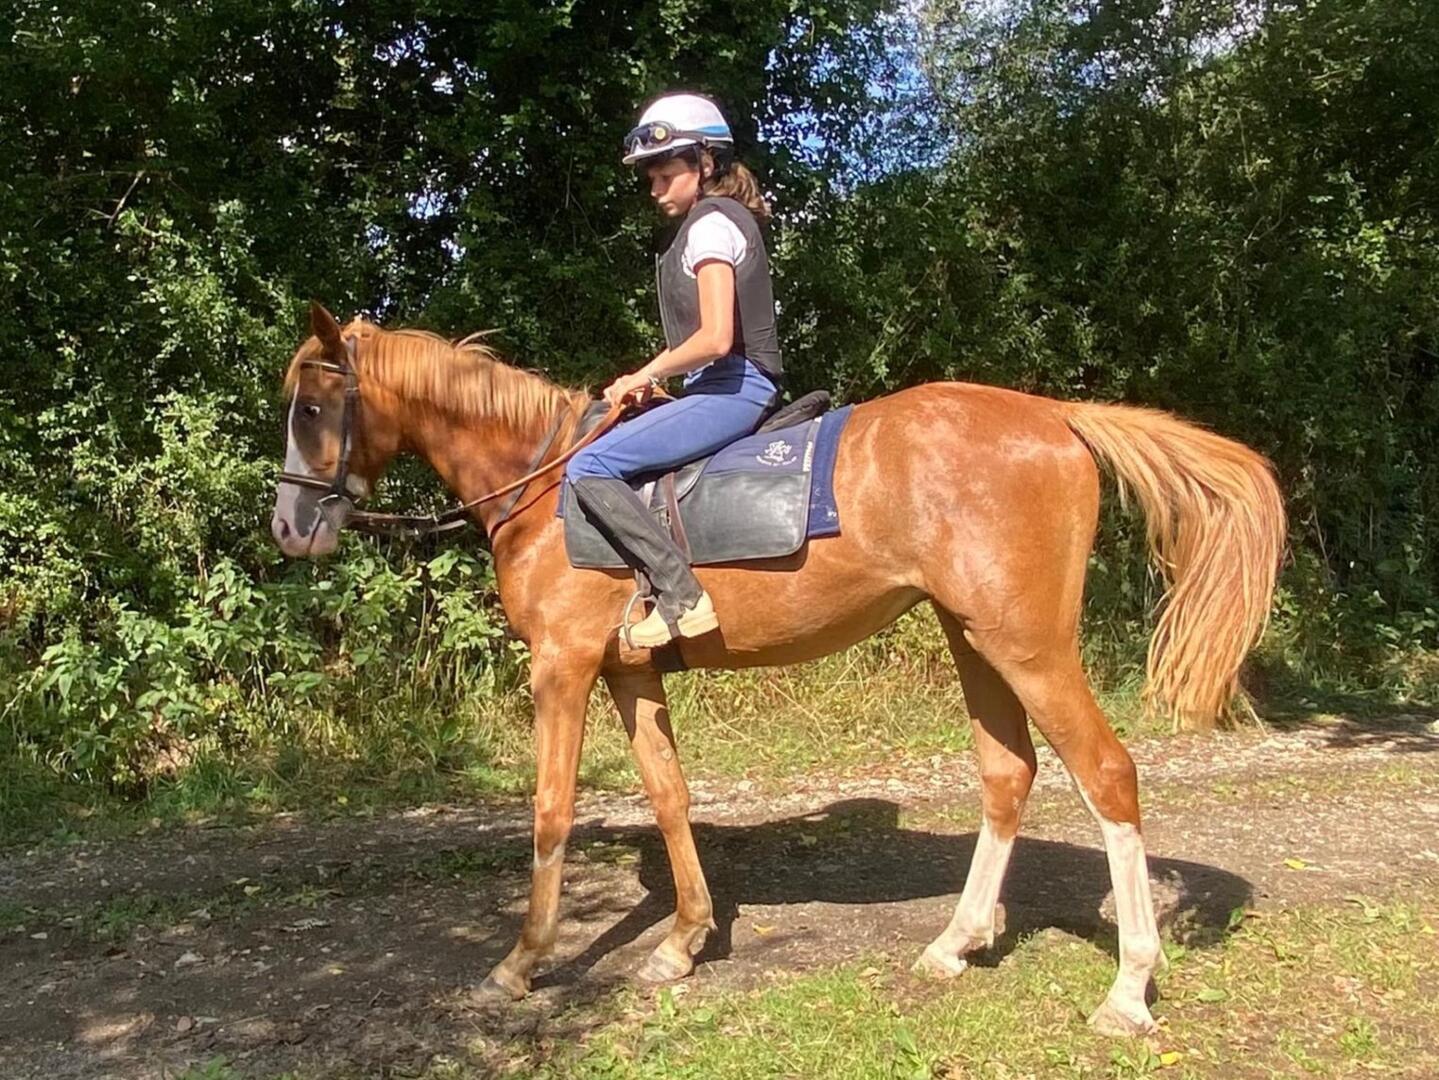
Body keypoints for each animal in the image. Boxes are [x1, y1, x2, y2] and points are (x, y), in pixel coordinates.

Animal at [271, 303, 1285, 1036]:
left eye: (313, 409)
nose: (288, 527)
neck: (545, 483)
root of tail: (1057, 416)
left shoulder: (562, 667)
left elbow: (552, 811)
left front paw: (521, 963)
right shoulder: (629, 674)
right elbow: (669, 794)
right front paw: (683, 942)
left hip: (1026, 644)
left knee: (1105, 775)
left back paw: (1127, 991)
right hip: (975, 638)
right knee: (1008, 774)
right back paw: (954, 943)